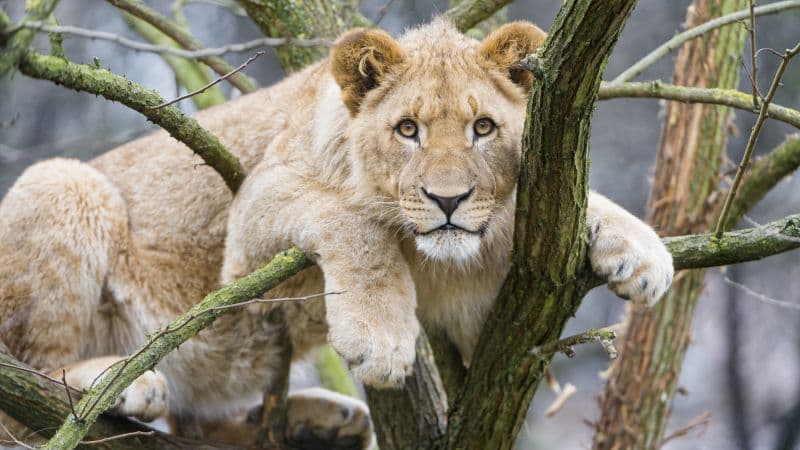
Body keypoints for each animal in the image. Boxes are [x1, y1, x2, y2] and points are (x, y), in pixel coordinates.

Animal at [0, 19, 673, 448]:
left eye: (483, 127)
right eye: (407, 129)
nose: (448, 201)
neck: (430, 254)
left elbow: (561, 204)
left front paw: (643, 253)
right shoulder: (252, 218)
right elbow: (355, 219)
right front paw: (380, 337)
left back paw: (319, 424)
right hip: (63, 182)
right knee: (34, 383)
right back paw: (123, 382)